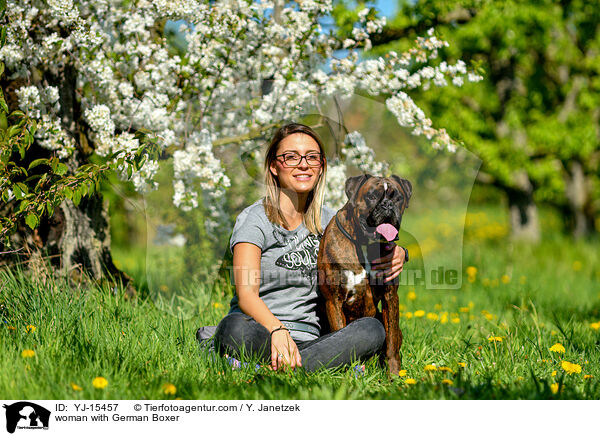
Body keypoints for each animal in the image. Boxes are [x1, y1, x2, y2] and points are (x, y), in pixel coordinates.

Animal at [318, 174, 412, 374]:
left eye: (398, 198)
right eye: (372, 196)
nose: (387, 204)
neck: (363, 244)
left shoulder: (390, 297)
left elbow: (391, 342)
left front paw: (394, 376)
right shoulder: (334, 301)